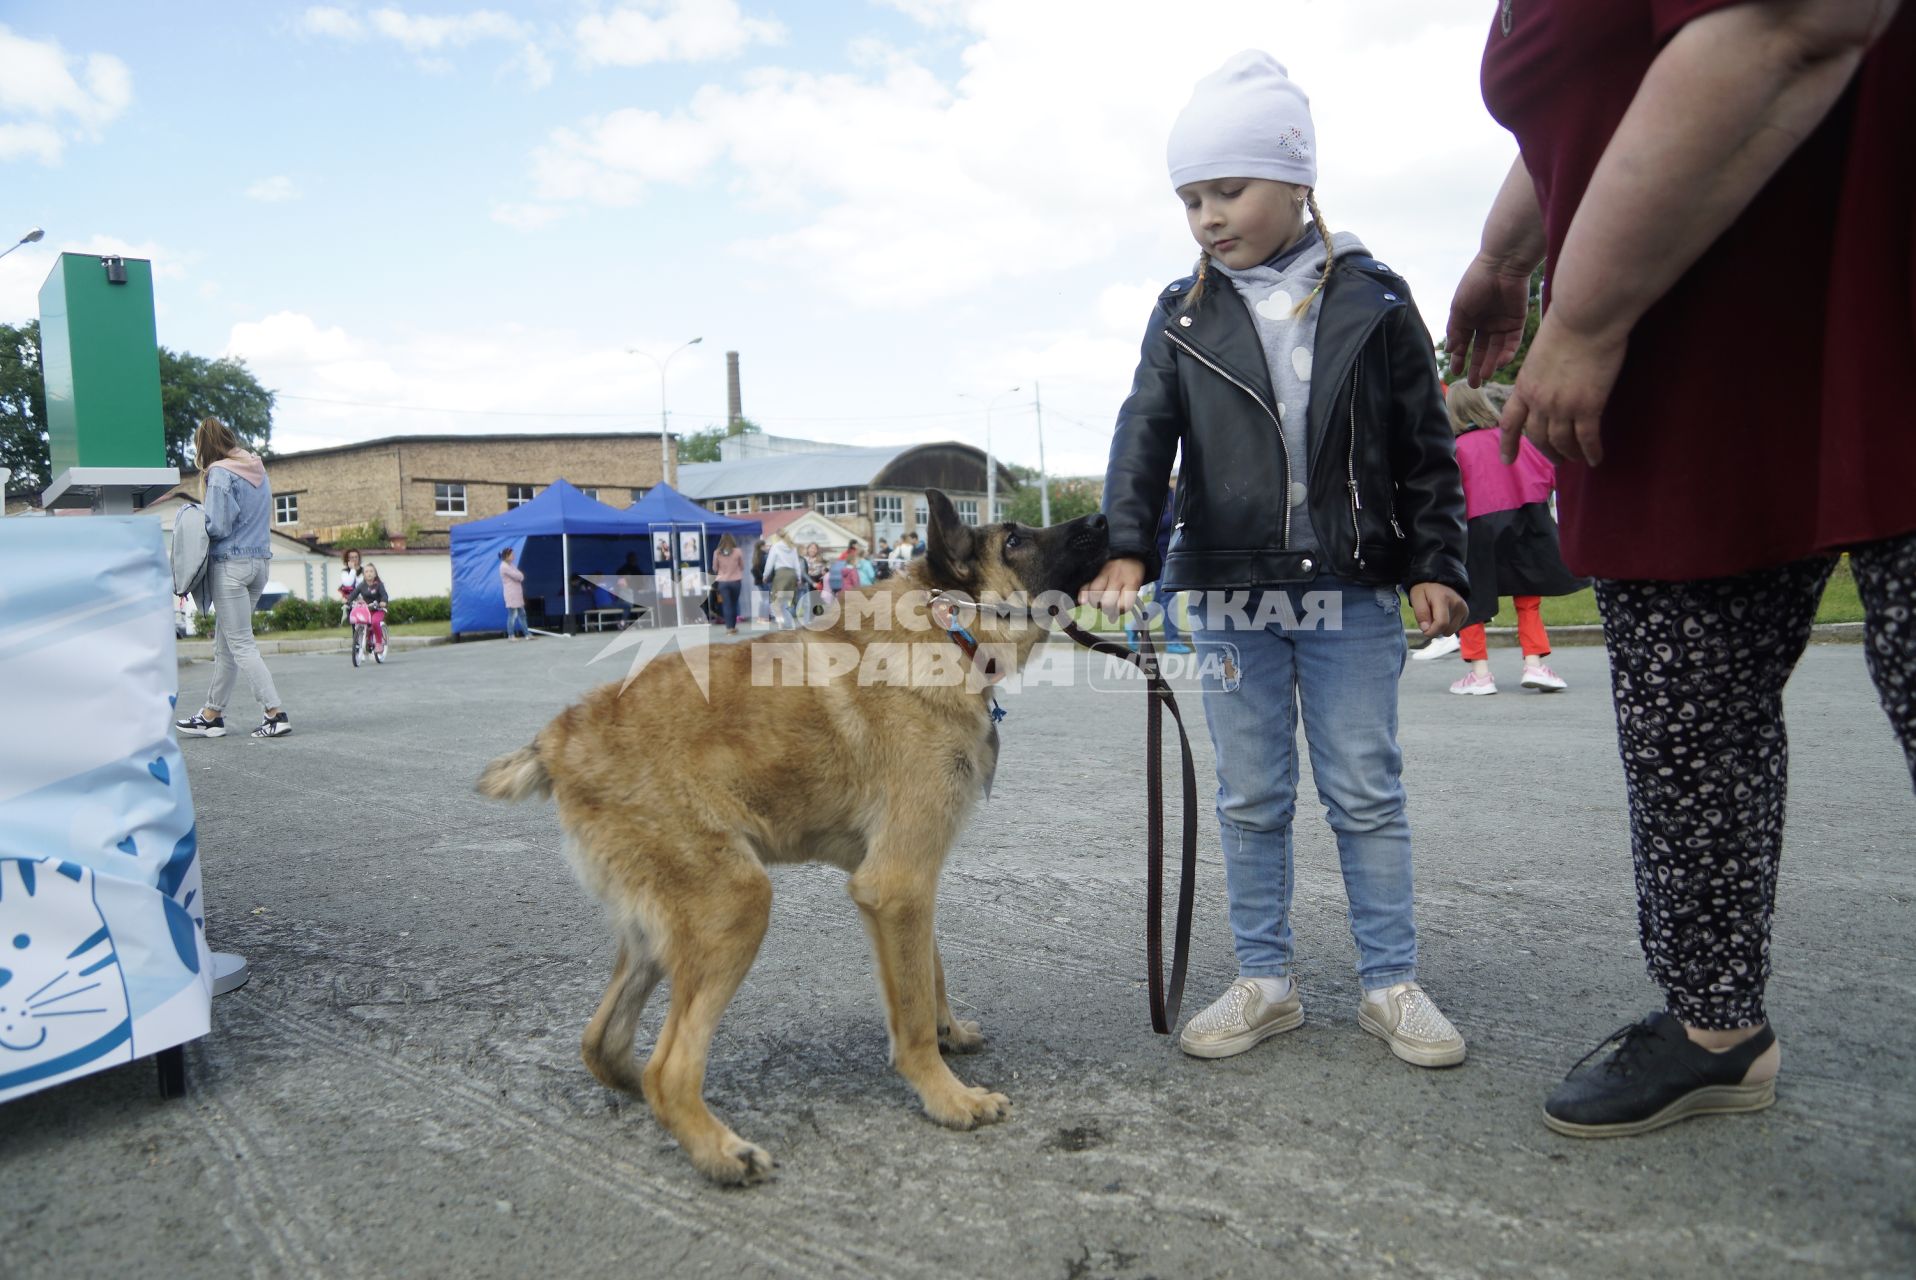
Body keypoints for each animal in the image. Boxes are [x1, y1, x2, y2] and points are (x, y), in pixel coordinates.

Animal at [475, 486, 1111, 1180]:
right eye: (1015, 539)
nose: (1106, 518)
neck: (948, 625)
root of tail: (558, 739)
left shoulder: (905, 887)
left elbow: (930, 972)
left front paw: (948, 1037)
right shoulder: (898, 884)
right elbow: (913, 1010)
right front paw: (946, 1096)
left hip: (660, 930)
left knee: (606, 1044)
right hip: (735, 905)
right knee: (667, 1069)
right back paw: (719, 1150)